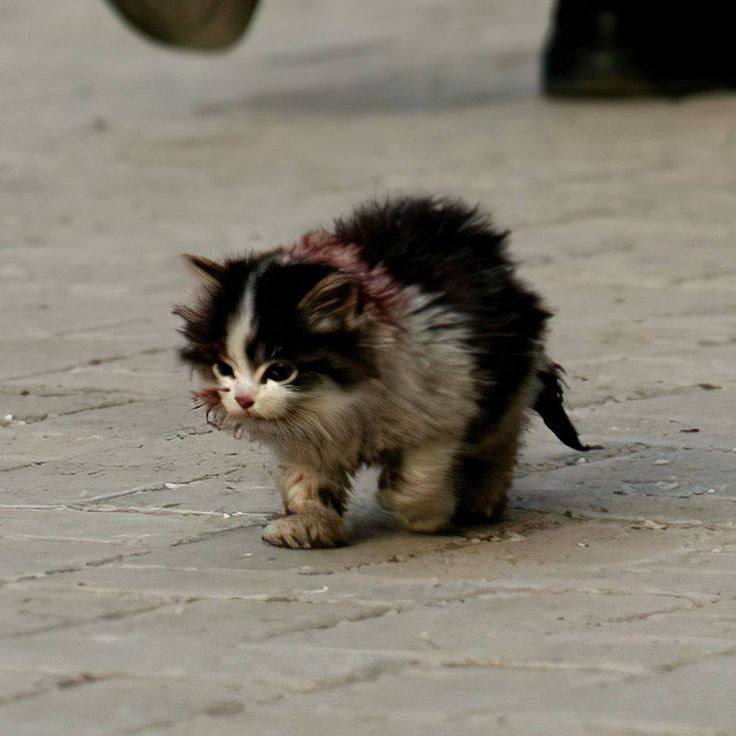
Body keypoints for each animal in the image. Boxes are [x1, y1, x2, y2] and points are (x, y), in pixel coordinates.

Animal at [174, 195, 592, 549]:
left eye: (280, 371)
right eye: (224, 368)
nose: (244, 399)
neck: (344, 401)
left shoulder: (443, 403)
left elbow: (417, 476)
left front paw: (426, 515)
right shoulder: (310, 436)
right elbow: (307, 479)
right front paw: (308, 524)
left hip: (503, 378)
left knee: (498, 439)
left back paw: (481, 500)